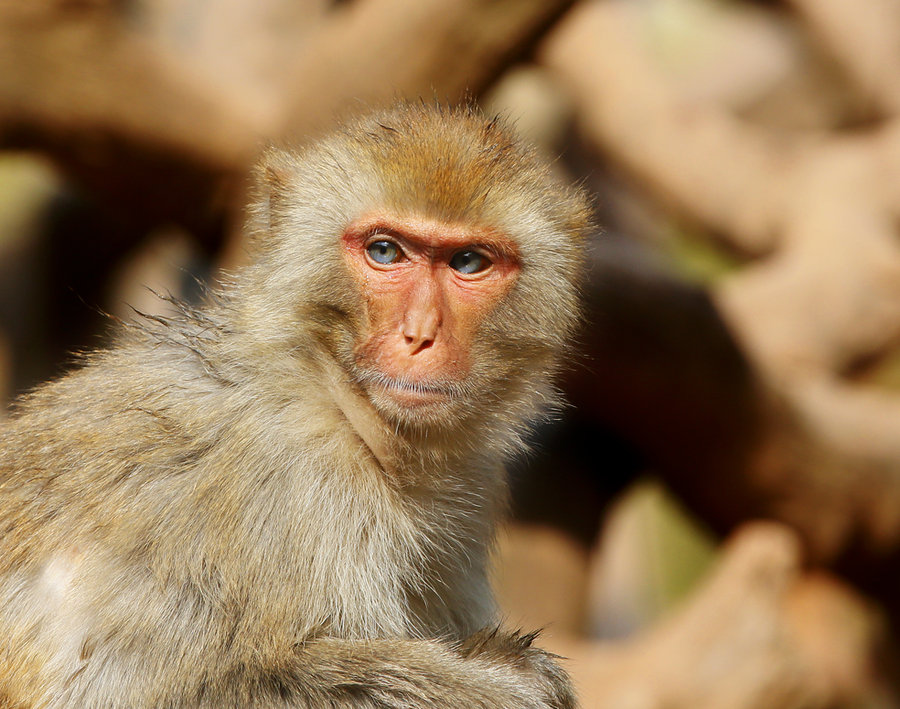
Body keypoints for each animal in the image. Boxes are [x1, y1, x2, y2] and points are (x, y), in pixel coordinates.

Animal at [0, 101, 592, 708]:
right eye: (385, 251)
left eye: (469, 262)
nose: (420, 335)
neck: (334, 393)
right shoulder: (294, 476)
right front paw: (520, 681)